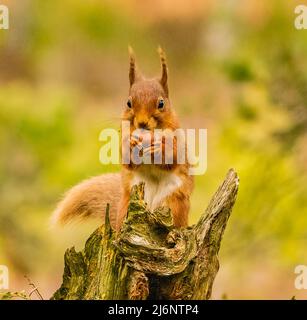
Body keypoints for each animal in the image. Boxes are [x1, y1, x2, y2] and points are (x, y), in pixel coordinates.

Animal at [51, 47, 194, 231]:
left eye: (161, 103)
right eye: (128, 103)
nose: (142, 122)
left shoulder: (177, 138)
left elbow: (174, 156)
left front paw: (159, 148)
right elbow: (126, 159)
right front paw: (130, 146)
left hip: (174, 204)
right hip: (127, 205)